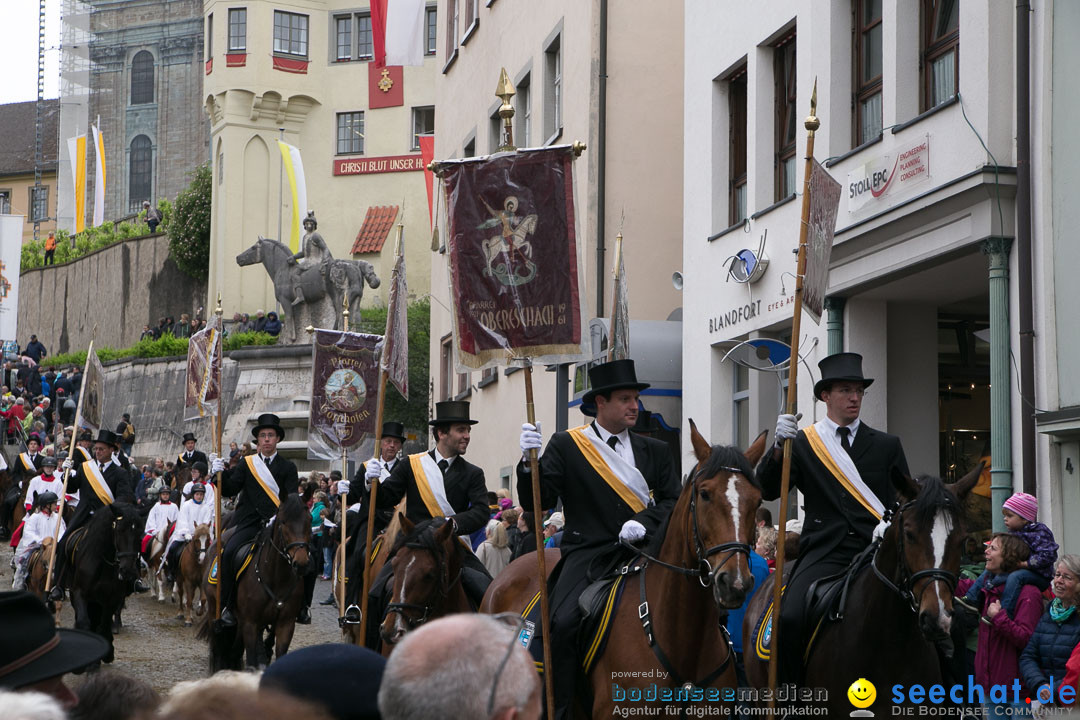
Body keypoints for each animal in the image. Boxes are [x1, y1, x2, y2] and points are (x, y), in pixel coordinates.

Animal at [197, 496, 311, 669]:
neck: (276, 577)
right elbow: (251, 659)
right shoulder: (251, 623)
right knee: (218, 644)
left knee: (235, 648)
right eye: (283, 522)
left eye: (309, 520)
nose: (302, 563)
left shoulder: (286, 624)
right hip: (213, 609)